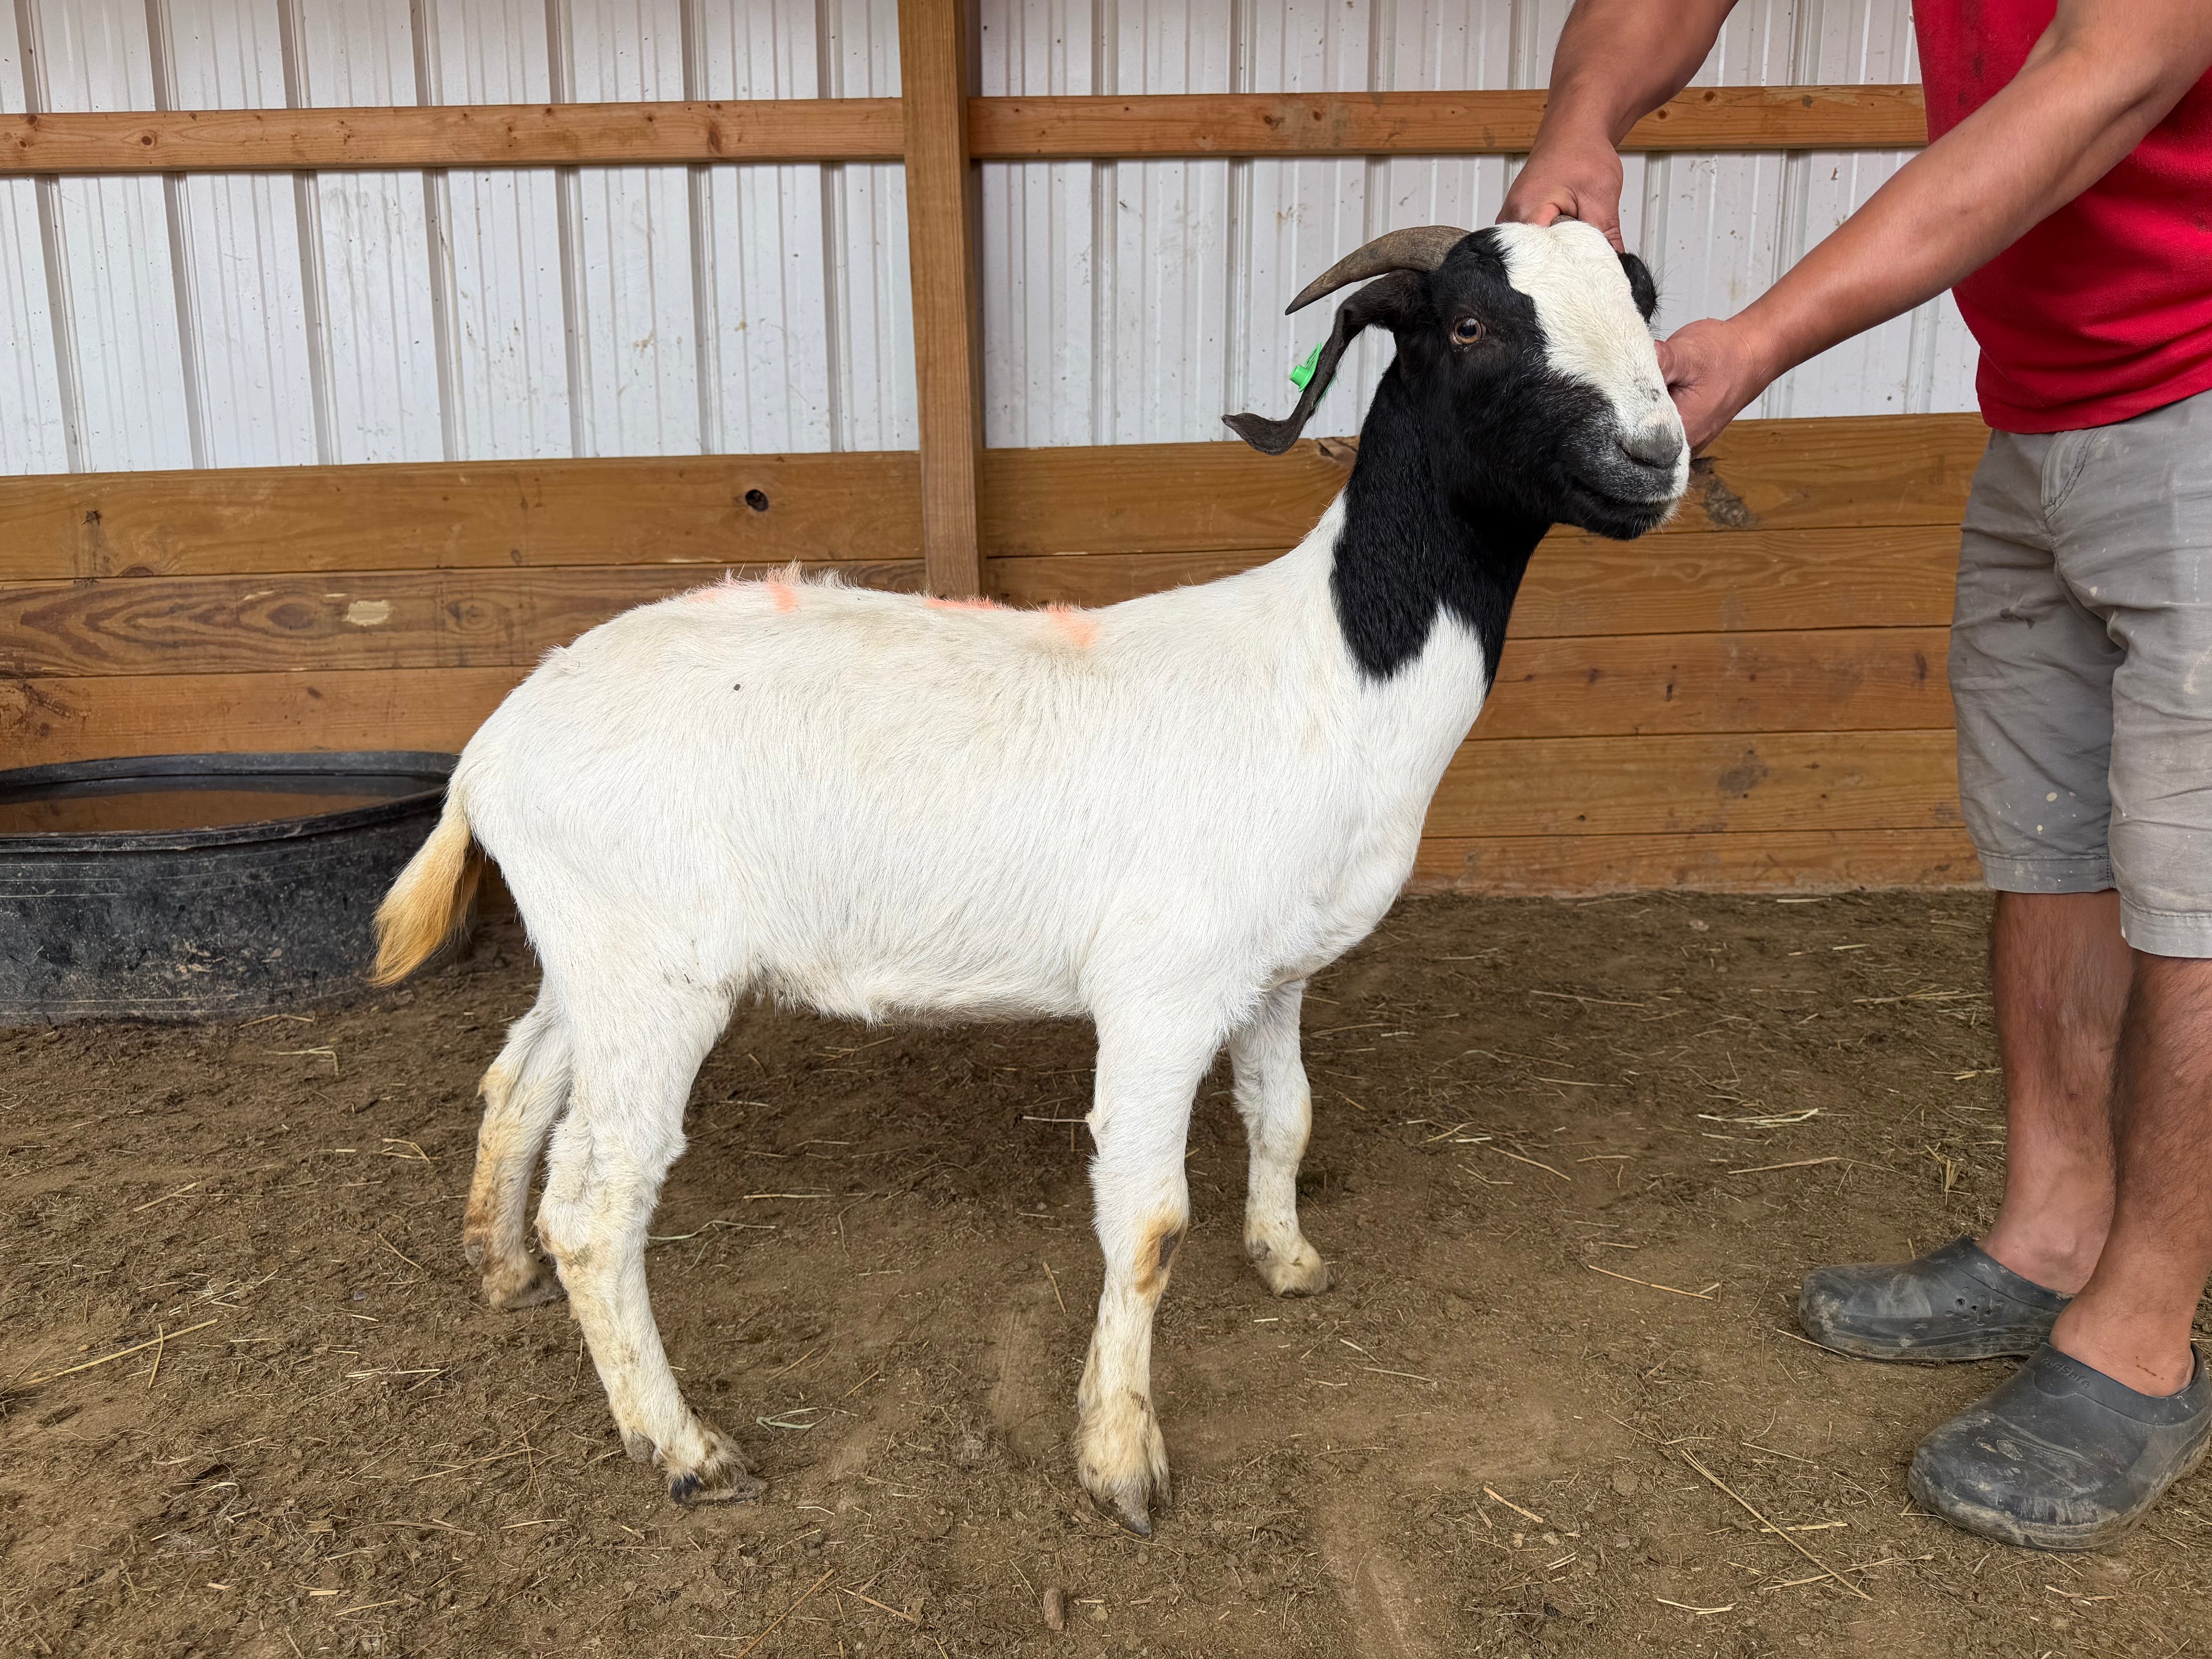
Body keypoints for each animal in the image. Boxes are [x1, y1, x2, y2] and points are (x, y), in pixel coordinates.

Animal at [371, 218, 1688, 1536]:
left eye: (1643, 297)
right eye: (1468, 325)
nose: (1654, 456)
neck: (1334, 669)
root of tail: (494, 745)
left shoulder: (1272, 976)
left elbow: (1286, 1117)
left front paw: (1289, 1262)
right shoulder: (1163, 990)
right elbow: (1149, 1221)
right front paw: (1120, 1461)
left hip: (594, 950)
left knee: (519, 1079)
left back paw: (500, 1266)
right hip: (658, 974)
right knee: (600, 1204)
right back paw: (683, 1445)